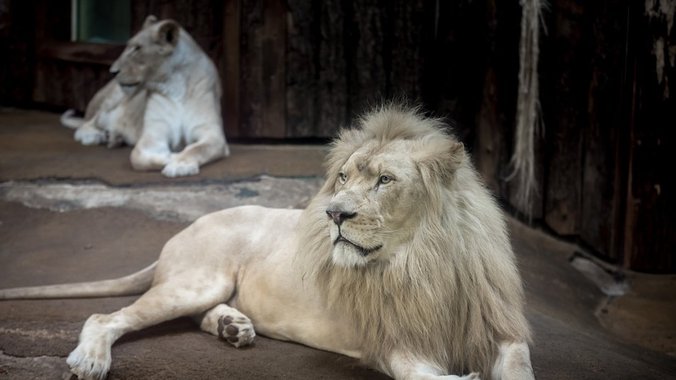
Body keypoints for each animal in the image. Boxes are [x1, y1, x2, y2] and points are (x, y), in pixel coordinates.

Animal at [2, 104, 536, 380]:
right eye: (343, 178)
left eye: (385, 180)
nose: (333, 213)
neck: (422, 261)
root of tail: (186, 227)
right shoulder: (392, 344)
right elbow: (427, 375)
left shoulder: (501, 331)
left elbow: (520, 367)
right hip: (197, 280)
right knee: (105, 317)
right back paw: (91, 360)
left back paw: (233, 327)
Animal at [60, 15, 230, 177]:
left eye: (137, 48)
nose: (112, 71)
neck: (175, 86)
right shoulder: (153, 135)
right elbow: (136, 157)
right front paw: (170, 157)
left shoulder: (212, 134)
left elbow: (197, 149)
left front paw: (179, 164)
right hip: (112, 99)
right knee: (87, 123)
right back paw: (95, 136)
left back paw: (114, 137)